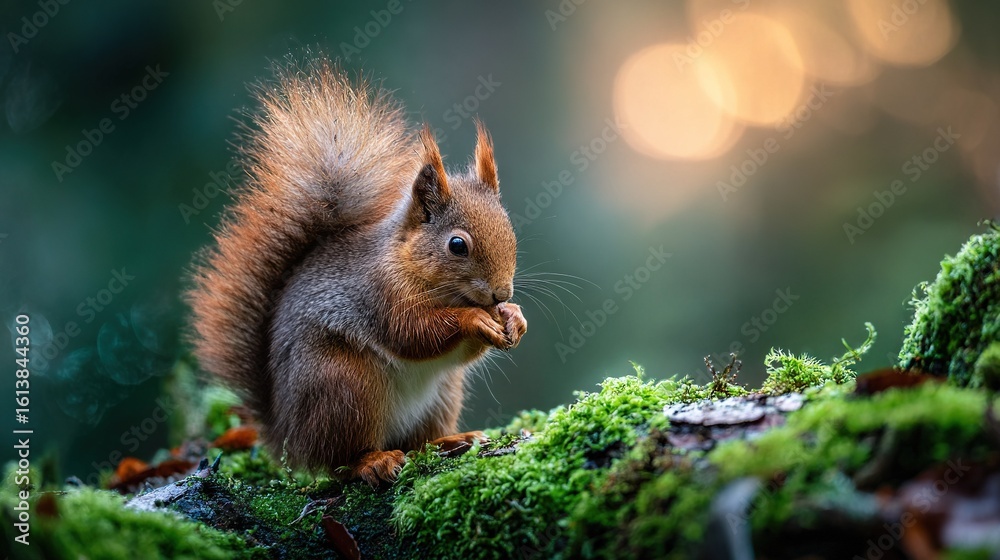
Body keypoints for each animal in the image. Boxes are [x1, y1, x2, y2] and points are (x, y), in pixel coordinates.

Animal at [186, 56, 526, 486]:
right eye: (457, 245)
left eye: (510, 230)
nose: (501, 293)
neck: (405, 261)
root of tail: (287, 436)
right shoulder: (378, 293)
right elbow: (412, 334)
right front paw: (475, 319)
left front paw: (515, 318)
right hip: (344, 387)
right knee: (340, 460)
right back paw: (373, 461)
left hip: (442, 395)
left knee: (417, 441)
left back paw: (451, 440)